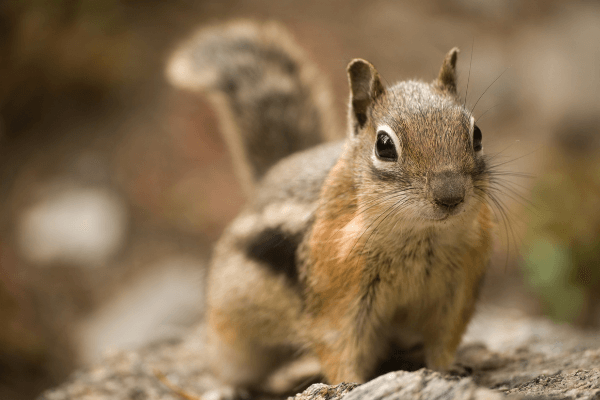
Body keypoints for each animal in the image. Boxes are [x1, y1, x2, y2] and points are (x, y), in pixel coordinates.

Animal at [168, 20, 492, 396]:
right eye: (384, 145)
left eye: (477, 134)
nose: (450, 196)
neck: (423, 237)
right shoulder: (340, 301)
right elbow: (341, 347)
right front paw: (350, 385)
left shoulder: (457, 292)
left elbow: (444, 341)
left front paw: (449, 367)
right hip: (233, 336)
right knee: (230, 369)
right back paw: (230, 388)